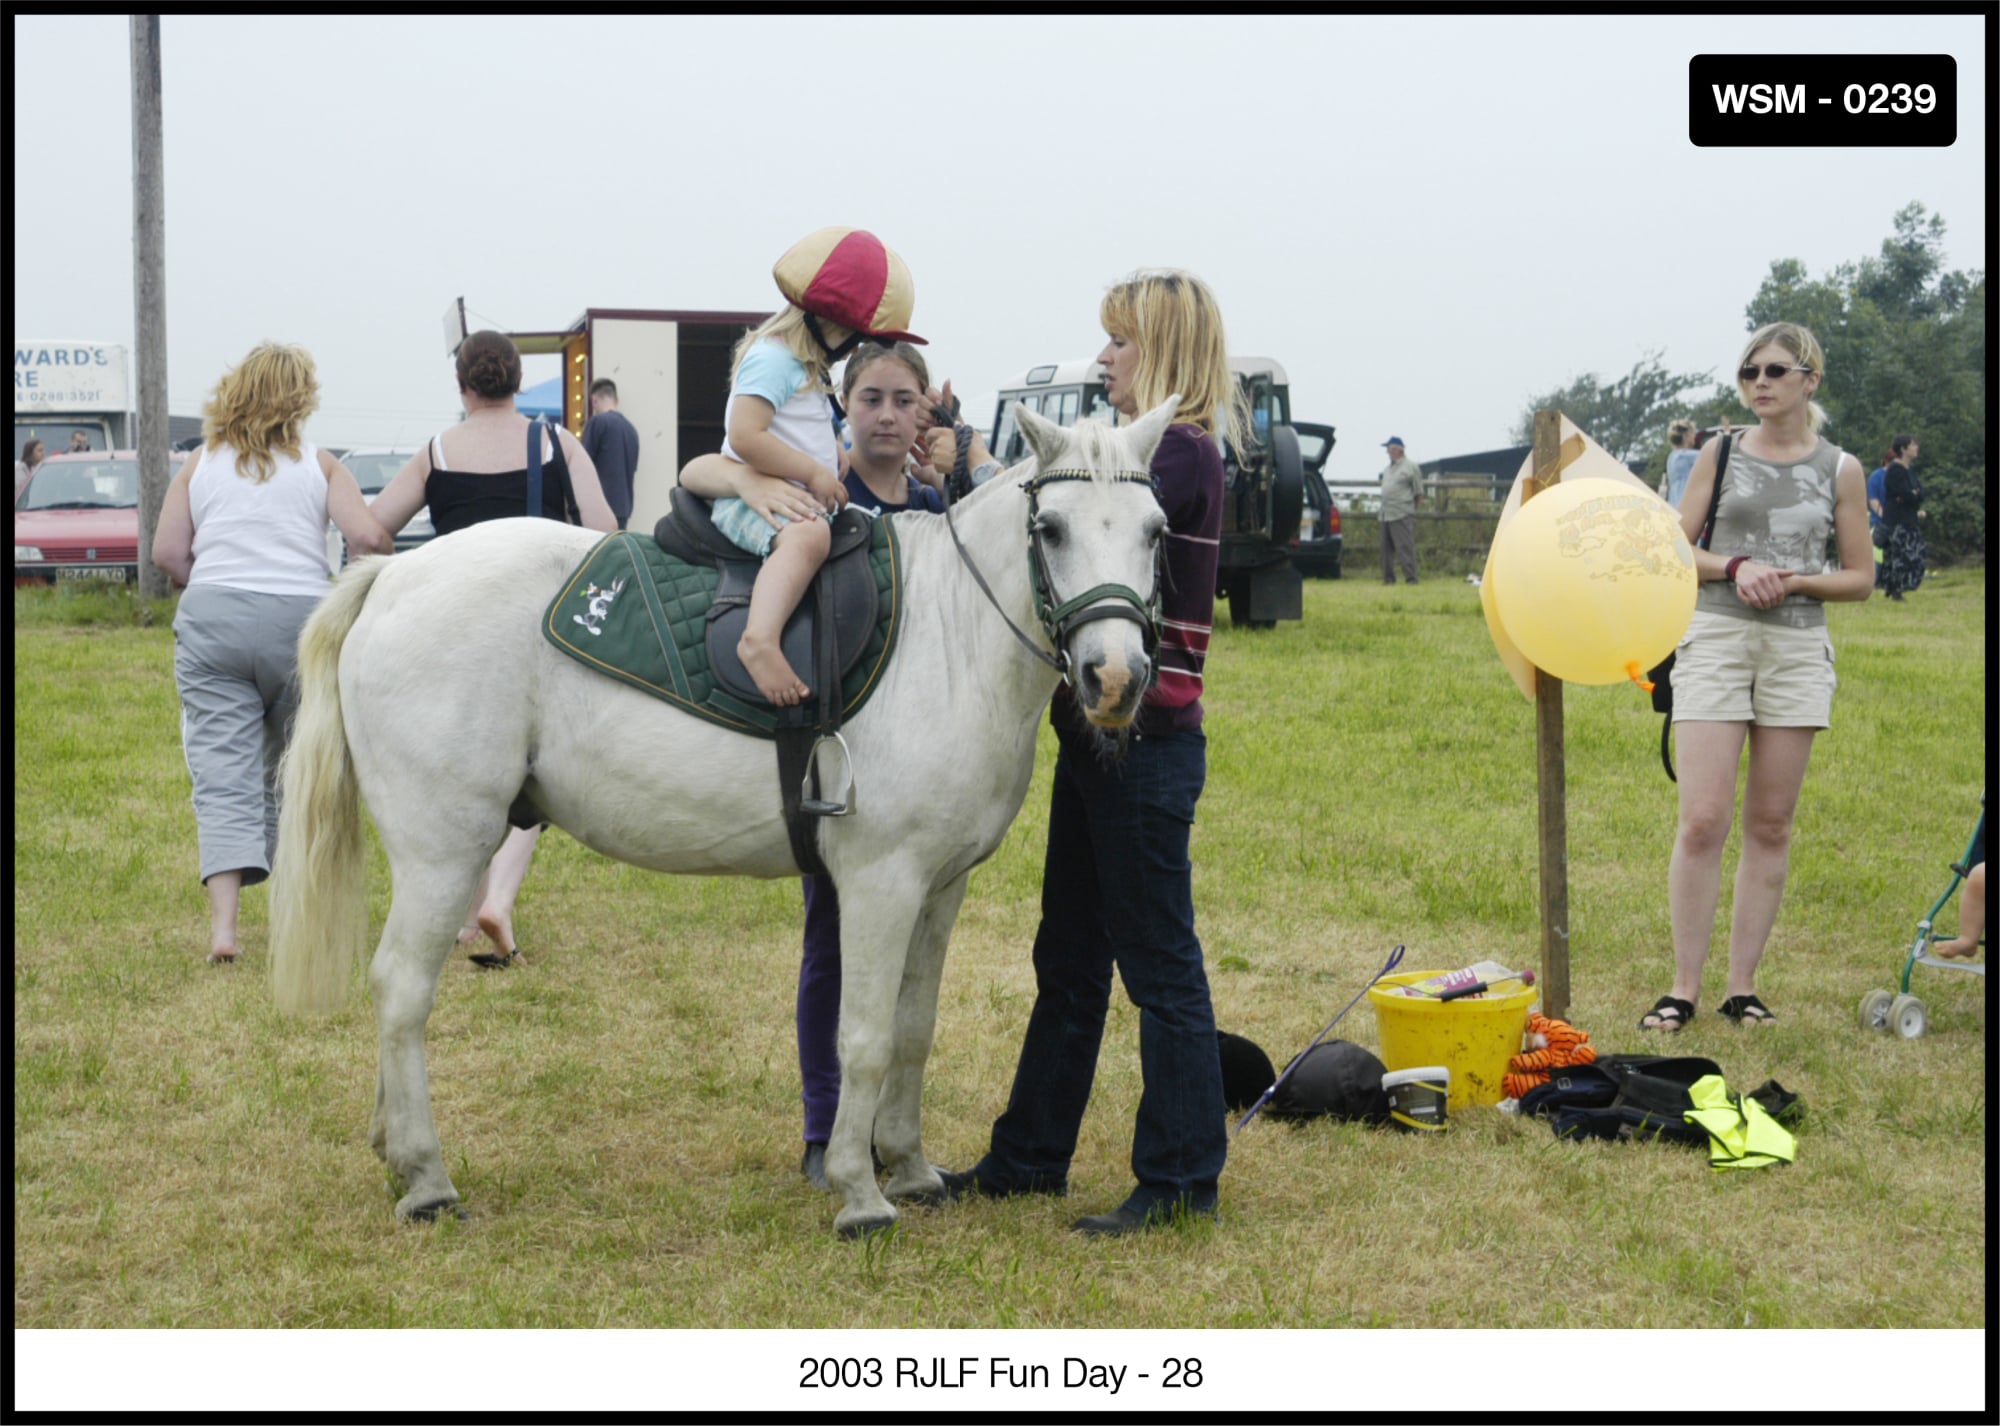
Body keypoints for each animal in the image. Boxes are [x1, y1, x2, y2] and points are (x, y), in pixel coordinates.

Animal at [266, 398, 1168, 1232]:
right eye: (1050, 528)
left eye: (1156, 532)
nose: (1115, 678)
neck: (947, 636)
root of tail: (391, 577)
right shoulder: (882, 883)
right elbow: (864, 1035)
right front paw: (861, 1192)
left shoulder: (939, 888)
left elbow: (913, 1028)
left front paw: (911, 1169)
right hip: (445, 853)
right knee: (402, 989)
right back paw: (426, 1178)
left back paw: (394, 1151)